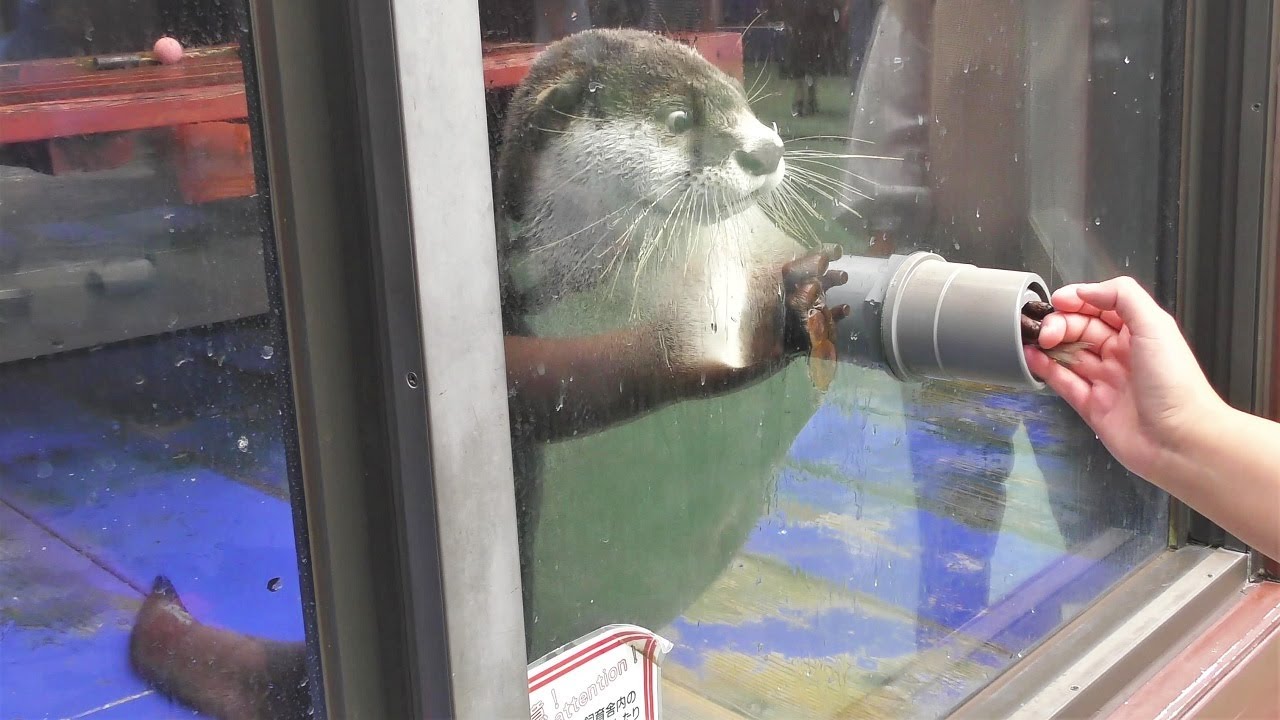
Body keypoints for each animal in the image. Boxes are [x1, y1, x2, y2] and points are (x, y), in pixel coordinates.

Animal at [126, 28, 849, 719]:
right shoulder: (527, 329)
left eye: (741, 100)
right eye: (678, 118)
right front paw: (752, 329)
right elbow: (571, 387)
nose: (766, 151)